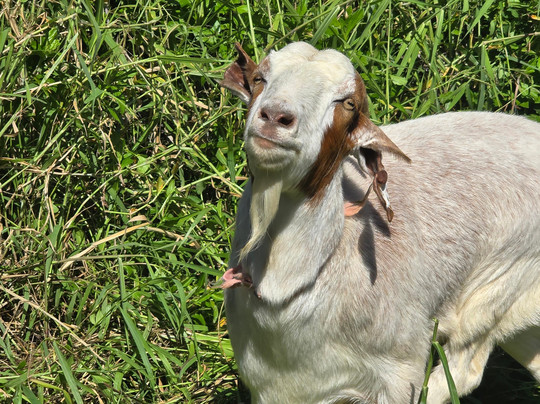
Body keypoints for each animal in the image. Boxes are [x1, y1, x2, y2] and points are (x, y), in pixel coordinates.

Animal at [219, 41, 540, 404]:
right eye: (260, 78)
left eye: (348, 104)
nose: (275, 116)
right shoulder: (270, 382)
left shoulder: (399, 370)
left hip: (497, 282)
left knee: (464, 367)